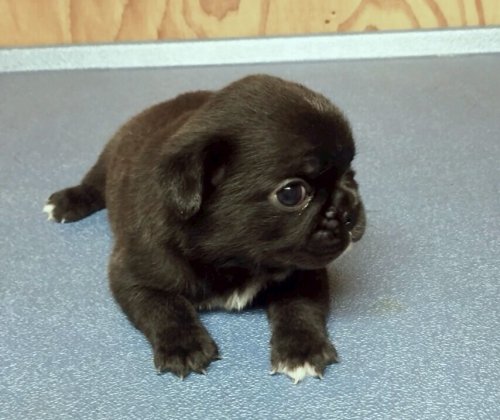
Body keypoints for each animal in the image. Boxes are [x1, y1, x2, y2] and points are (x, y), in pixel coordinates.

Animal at [44, 74, 365, 383]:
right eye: (291, 194)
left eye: (351, 173)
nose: (348, 211)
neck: (237, 260)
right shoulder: (132, 275)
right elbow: (163, 306)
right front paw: (183, 346)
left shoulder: (304, 272)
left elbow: (300, 307)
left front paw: (302, 350)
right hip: (109, 157)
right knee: (93, 184)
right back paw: (68, 201)